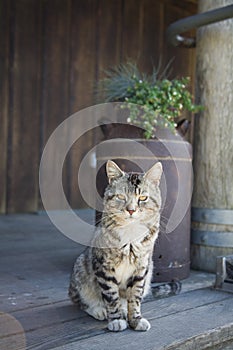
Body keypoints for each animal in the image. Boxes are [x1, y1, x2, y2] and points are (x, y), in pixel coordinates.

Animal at [68, 160, 162, 332]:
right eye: (121, 196)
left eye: (143, 197)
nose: (131, 210)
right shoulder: (104, 267)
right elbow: (111, 296)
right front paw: (116, 319)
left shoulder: (142, 267)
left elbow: (135, 296)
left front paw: (136, 319)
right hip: (80, 271)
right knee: (81, 301)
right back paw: (98, 310)